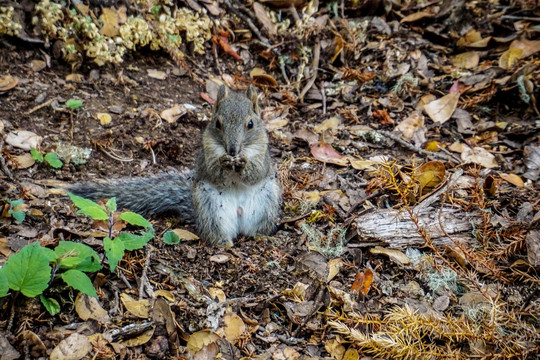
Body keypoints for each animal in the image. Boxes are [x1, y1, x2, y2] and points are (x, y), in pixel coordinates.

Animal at [71, 85, 280, 246]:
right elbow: (214, 173)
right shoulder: (205, 157)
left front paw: (243, 163)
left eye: (251, 124)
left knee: (257, 228)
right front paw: (223, 163)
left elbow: (256, 172)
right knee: (216, 231)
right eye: (218, 124)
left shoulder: (263, 157)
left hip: (267, 203)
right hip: (210, 209)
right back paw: (225, 243)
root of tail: (239, 218)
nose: (233, 150)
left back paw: (261, 237)